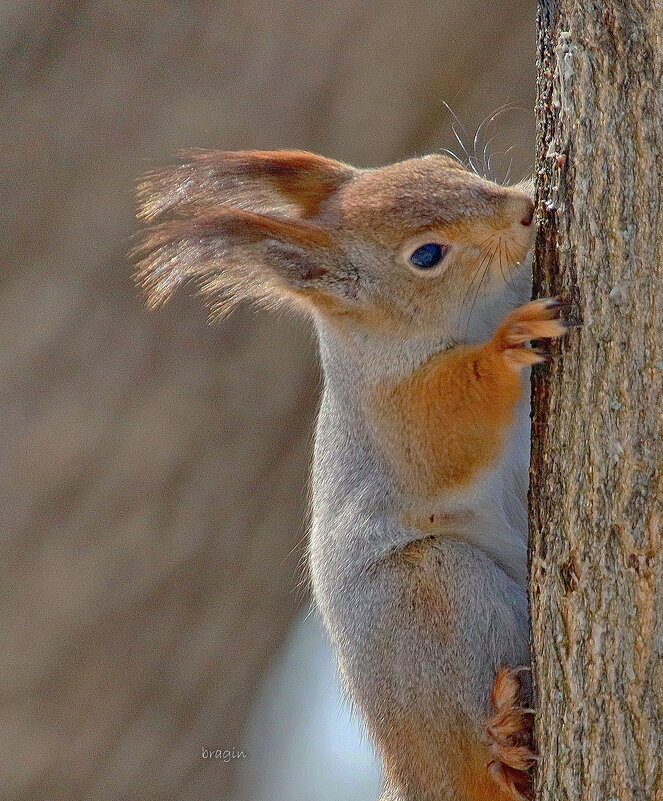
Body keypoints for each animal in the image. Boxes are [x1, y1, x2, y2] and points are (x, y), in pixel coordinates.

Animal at [135, 150, 572, 800]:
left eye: (441, 161)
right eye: (426, 255)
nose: (523, 210)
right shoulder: (393, 416)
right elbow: (446, 431)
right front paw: (506, 343)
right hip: (424, 602)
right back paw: (505, 744)